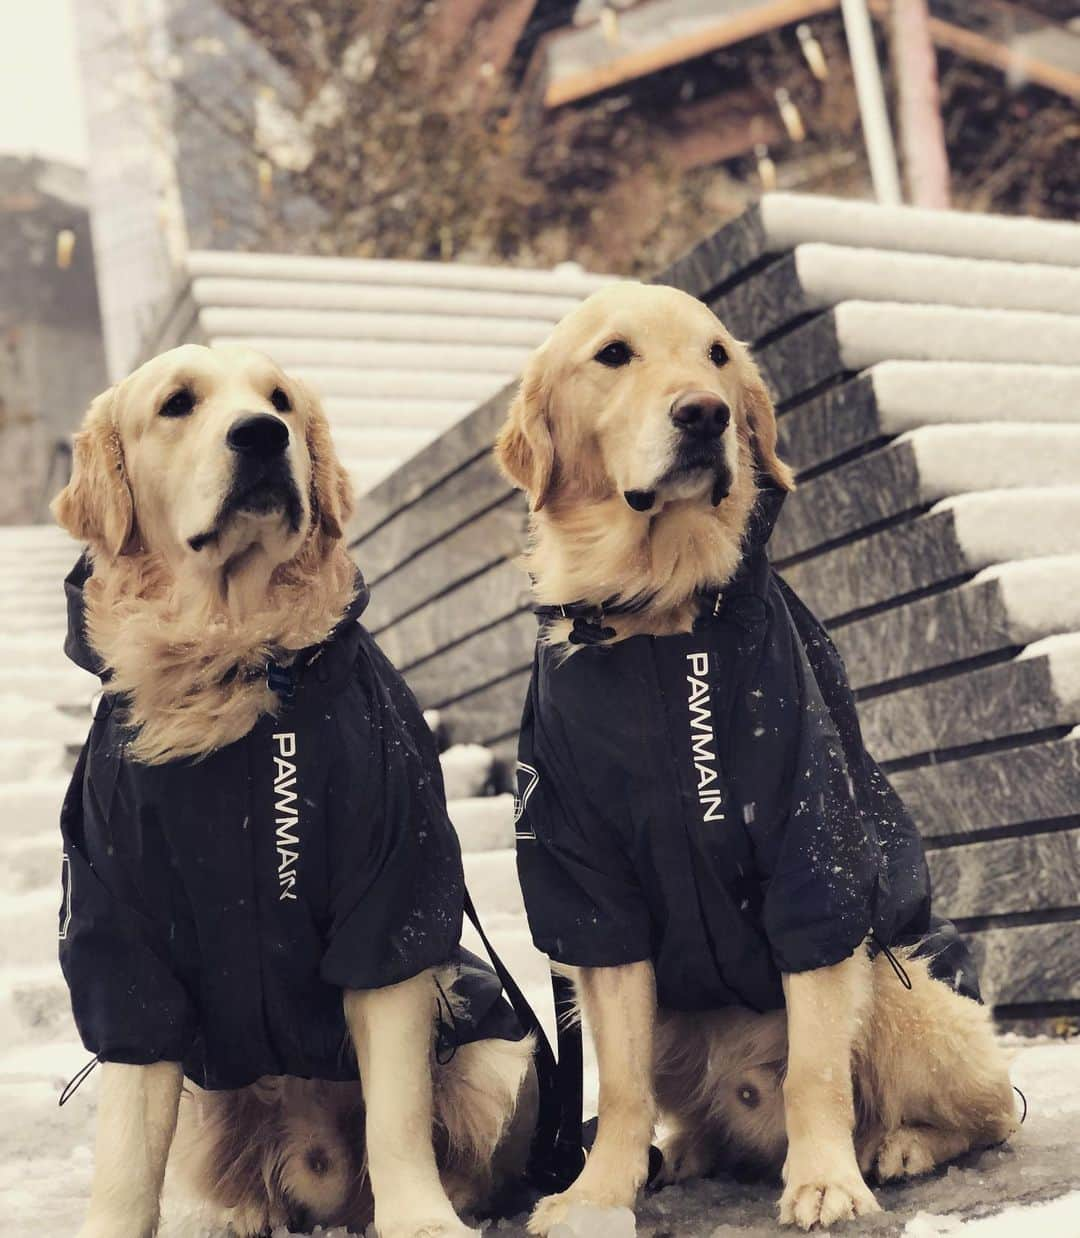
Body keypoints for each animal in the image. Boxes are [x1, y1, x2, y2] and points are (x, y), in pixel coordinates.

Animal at [52, 344, 532, 1238]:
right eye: (177, 404)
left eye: (278, 400)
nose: (261, 435)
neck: (236, 654)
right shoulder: (116, 932)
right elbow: (127, 1151)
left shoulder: (391, 892)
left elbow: (396, 1113)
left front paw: (421, 1219)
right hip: (209, 1101)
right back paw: (243, 1215)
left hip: (496, 1045)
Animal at [492, 284, 1015, 1233]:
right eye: (614, 355)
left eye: (718, 356)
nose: (706, 414)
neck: (658, 622)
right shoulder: (589, 896)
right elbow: (619, 1089)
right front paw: (597, 1194)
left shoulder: (811, 863)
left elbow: (816, 1068)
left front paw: (826, 1181)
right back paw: (683, 1154)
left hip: (905, 987)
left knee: (990, 1111)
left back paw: (898, 1146)